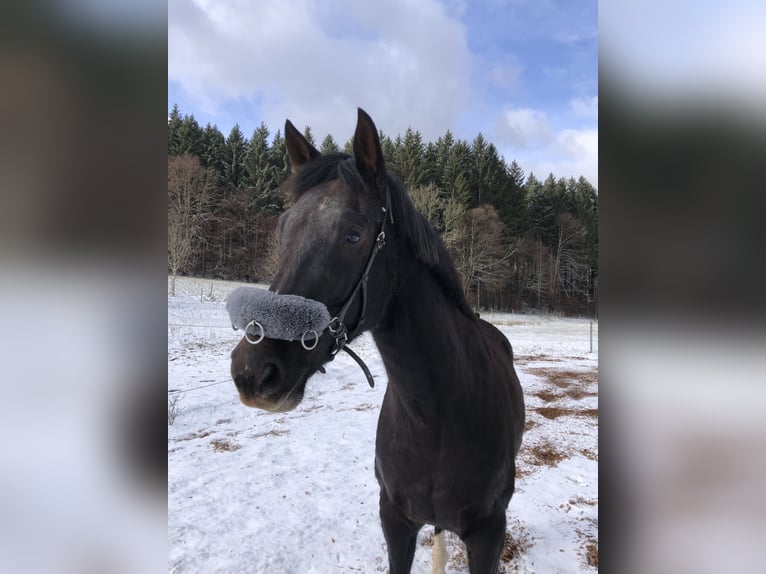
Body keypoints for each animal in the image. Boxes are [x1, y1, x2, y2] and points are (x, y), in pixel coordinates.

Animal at [230, 109, 528, 574]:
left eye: (353, 235)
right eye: (283, 227)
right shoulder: (396, 522)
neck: (436, 416)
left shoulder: (488, 535)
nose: (252, 372)